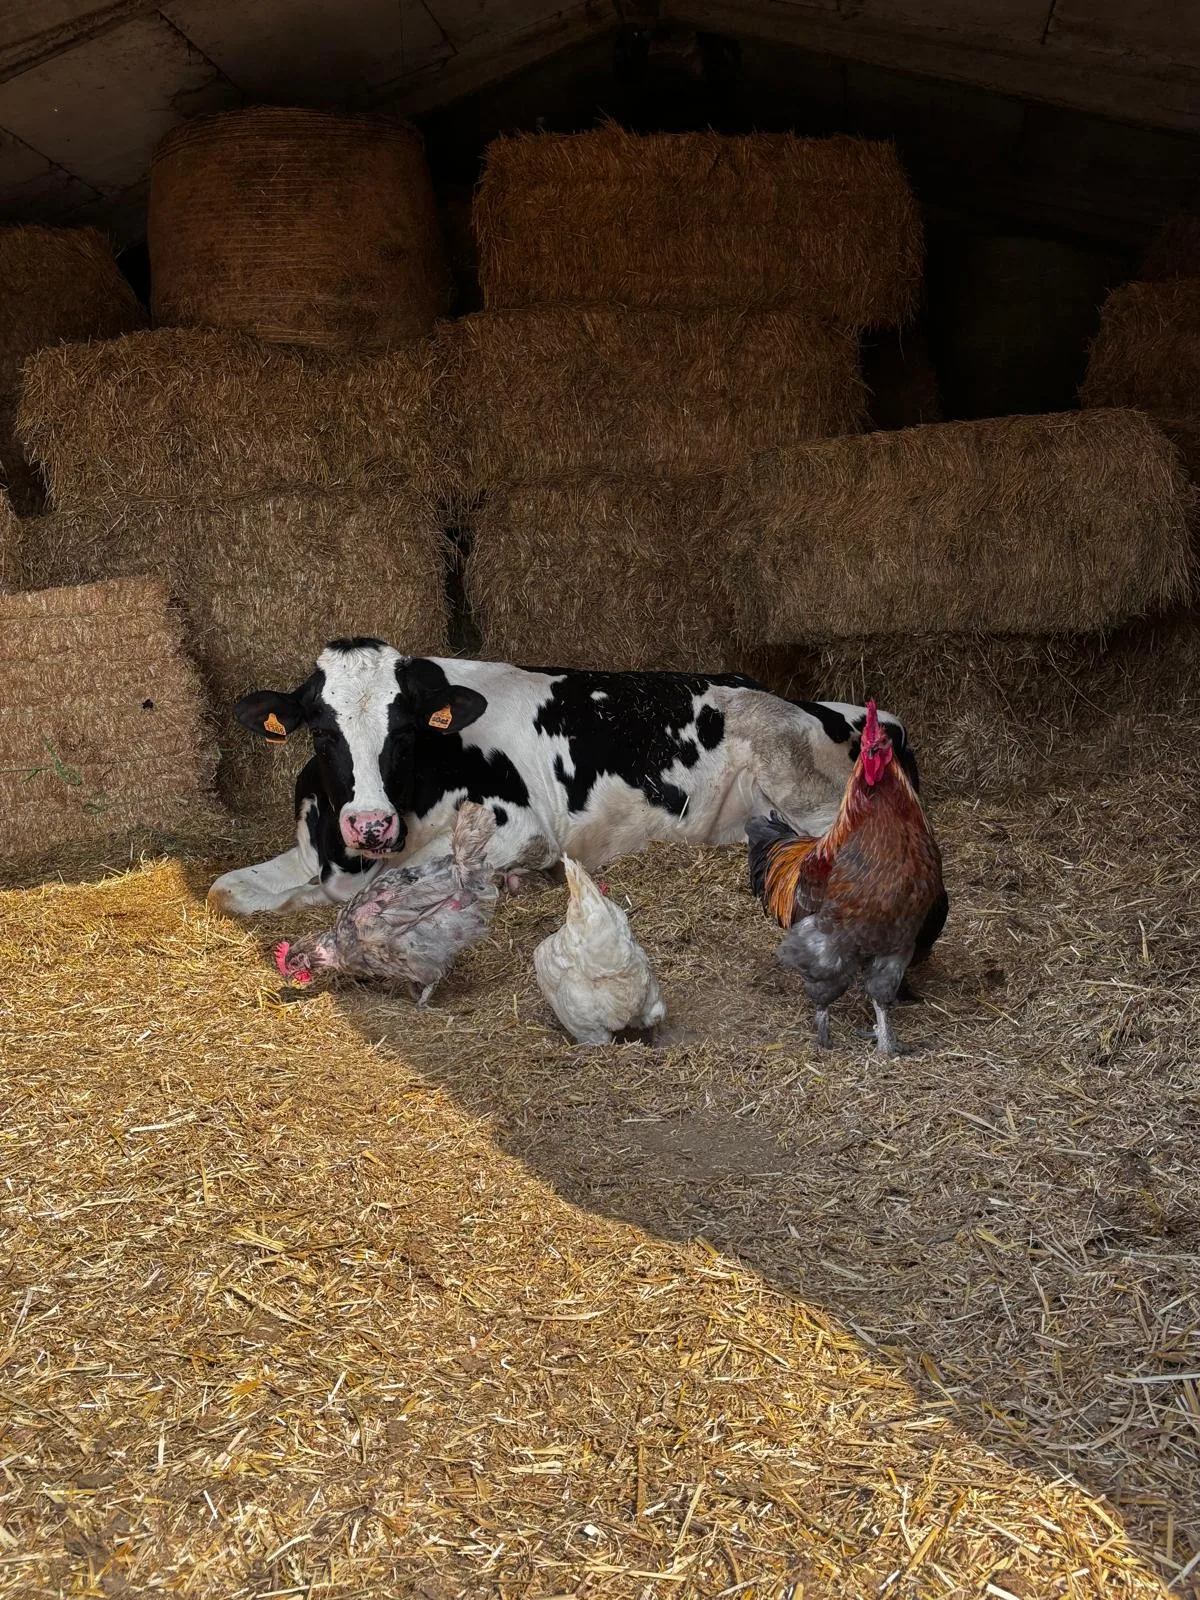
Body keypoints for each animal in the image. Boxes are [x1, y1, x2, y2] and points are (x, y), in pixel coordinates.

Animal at [207, 639, 923, 920]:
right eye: (322, 733)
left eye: (405, 731)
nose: (371, 824)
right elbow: (225, 891)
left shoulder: (520, 828)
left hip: (798, 775)